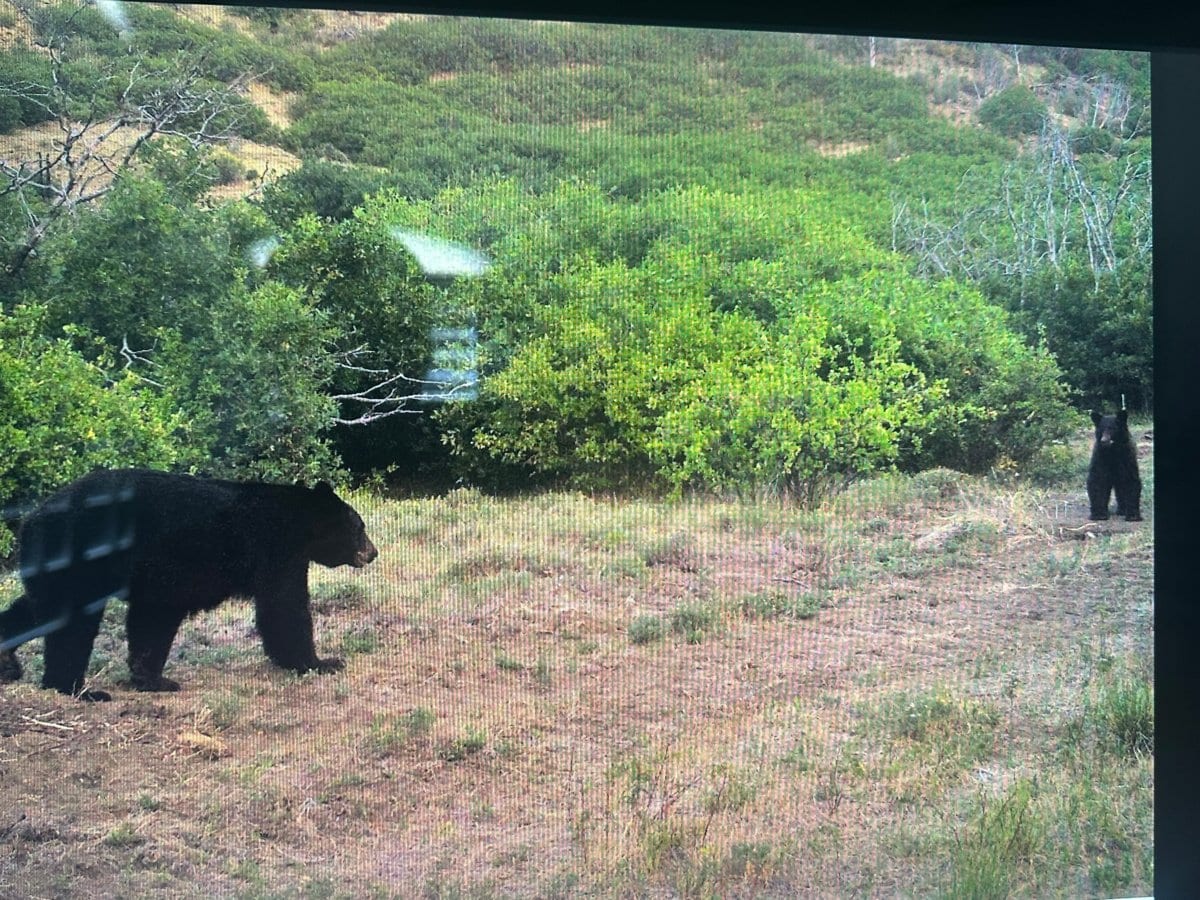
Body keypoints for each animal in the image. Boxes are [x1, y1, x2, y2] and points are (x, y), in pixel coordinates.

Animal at [0, 468, 377, 701]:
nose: (372, 553)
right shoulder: (274, 549)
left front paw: (153, 679)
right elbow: (283, 606)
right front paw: (320, 661)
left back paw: (8, 661)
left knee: (35, 608)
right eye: (359, 527)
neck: (300, 523)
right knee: (71, 623)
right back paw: (77, 689)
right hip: (80, 554)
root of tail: (31, 519)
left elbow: (152, 620)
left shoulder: (163, 580)